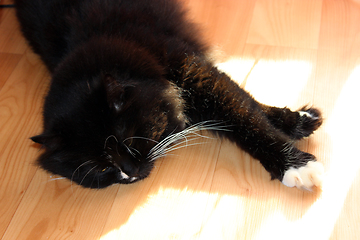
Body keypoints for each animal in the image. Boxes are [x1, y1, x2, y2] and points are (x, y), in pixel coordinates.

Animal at [14, 0, 324, 189]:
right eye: (100, 168)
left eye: (129, 141)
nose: (129, 173)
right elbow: (250, 112)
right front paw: (295, 124)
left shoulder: (195, 73)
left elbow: (248, 118)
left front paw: (294, 161)